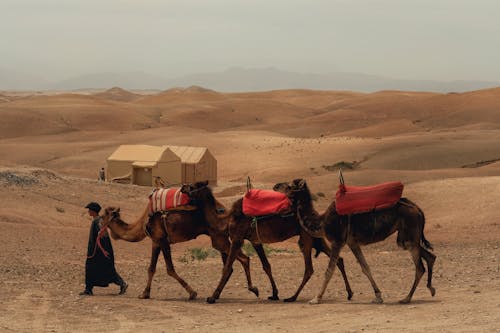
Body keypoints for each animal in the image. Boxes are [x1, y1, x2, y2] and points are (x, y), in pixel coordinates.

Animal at [182, 180, 354, 302]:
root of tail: (315, 213)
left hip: (305, 237)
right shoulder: (255, 240)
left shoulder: (237, 237)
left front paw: (212, 296)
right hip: (316, 238)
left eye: (192, 186)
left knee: (309, 269)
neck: (226, 219)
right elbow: (266, 266)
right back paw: (349, 293)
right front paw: (273, 293)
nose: (182, 187)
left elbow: (227, 267)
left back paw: (292, 297)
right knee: (338, 259)